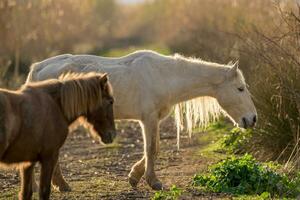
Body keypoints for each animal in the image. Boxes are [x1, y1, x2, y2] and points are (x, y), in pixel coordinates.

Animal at [25, 50, 256, 191]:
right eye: (240, 89)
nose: (252, 119)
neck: (164, 75)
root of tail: (39, 68)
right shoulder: (148, 119)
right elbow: (151, 149)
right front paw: (153, 182)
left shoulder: (155, 120)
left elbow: (155, 148)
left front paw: (134, 176)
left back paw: (57, 185)